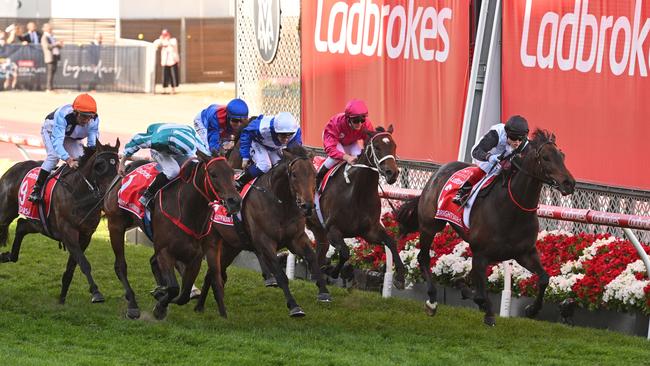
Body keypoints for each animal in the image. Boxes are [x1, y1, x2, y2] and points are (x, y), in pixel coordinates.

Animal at [0, 139, 120, 304]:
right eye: (100, 165)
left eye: (118, 164)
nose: (112, 192)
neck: (78, 193)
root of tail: (11, 169)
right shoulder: (68, 232)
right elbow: (84, 263)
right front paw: (96, 293)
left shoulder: (85, 235)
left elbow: (72, 267)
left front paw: (62, 298)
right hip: (6, 212)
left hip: (38, 223)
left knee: (21, 226)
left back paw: (8, 256)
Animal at [104, 152, 240, 320]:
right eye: (213, 174)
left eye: (232, 173)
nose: (235, 201)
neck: (187, 211)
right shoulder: (165, 252)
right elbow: (175, 288)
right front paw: (160, 305)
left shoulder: (195, 258)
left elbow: (184, 295)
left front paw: (161, 297)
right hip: (115, 225)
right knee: (121, 266)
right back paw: (133, 305)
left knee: (153, 263)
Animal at [195, 144, 332, 316]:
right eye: (294, 175)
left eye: (314, 174)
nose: (307, 206)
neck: (281, 204)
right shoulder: (265, 242)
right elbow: (280, 274)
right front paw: (294, 306)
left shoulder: (296, 238)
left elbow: (312, 258)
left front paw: (324, 292)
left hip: (230, 246)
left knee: (212, 272)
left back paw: (200, 306)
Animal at [306, 126, 404, 288]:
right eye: (377, 147)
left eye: (394, 146)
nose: (393, 173)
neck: (357, 194)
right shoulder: (332, 229)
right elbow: (345, 252)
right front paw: (332, 271)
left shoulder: (369, 231)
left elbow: (391, 242)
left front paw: (400, 276)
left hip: (318, 229)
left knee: (320, 250)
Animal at [394, 129, 572, 326]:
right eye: (546, 157)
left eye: (562, 156)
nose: (569, 183)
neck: (512, 210)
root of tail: (437, 173)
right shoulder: (481, 254)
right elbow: (479, 294)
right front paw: (486, 310)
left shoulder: (525, 253)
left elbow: (543, 279)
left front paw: (532, 309)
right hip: (430, 226)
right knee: (423, 257)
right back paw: (431, 300)